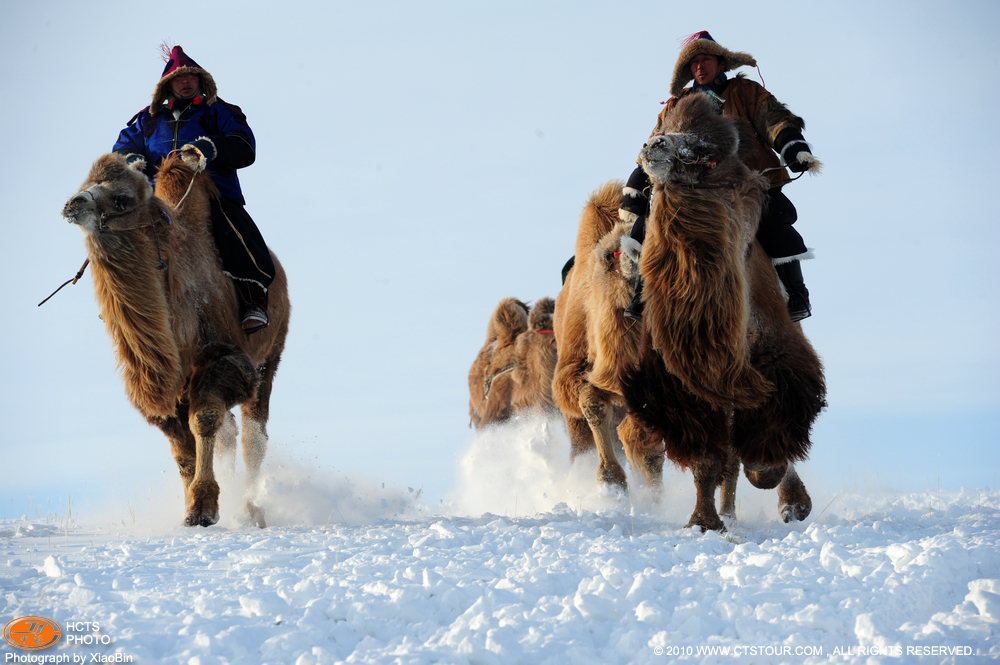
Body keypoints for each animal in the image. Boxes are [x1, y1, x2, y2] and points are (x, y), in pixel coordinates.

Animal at [62, 153, 290, 528]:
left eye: (121, 198)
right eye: (85, 184)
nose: (73, 203)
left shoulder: (223, 358)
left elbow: (204, 421)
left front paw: (204, 508)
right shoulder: (164, 385)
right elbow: (181, 448)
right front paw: (193, 508)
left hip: (269, 355)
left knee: (253, 436)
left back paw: (252, 512)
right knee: (230, 433)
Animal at [552, 93, 824, 528]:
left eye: (707, 150)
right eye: (665, 127)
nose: (653, 145)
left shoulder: (761, 366)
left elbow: (749, 444)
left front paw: (770, 503)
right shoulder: (674, 382)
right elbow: (707, 455)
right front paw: (702, 521)